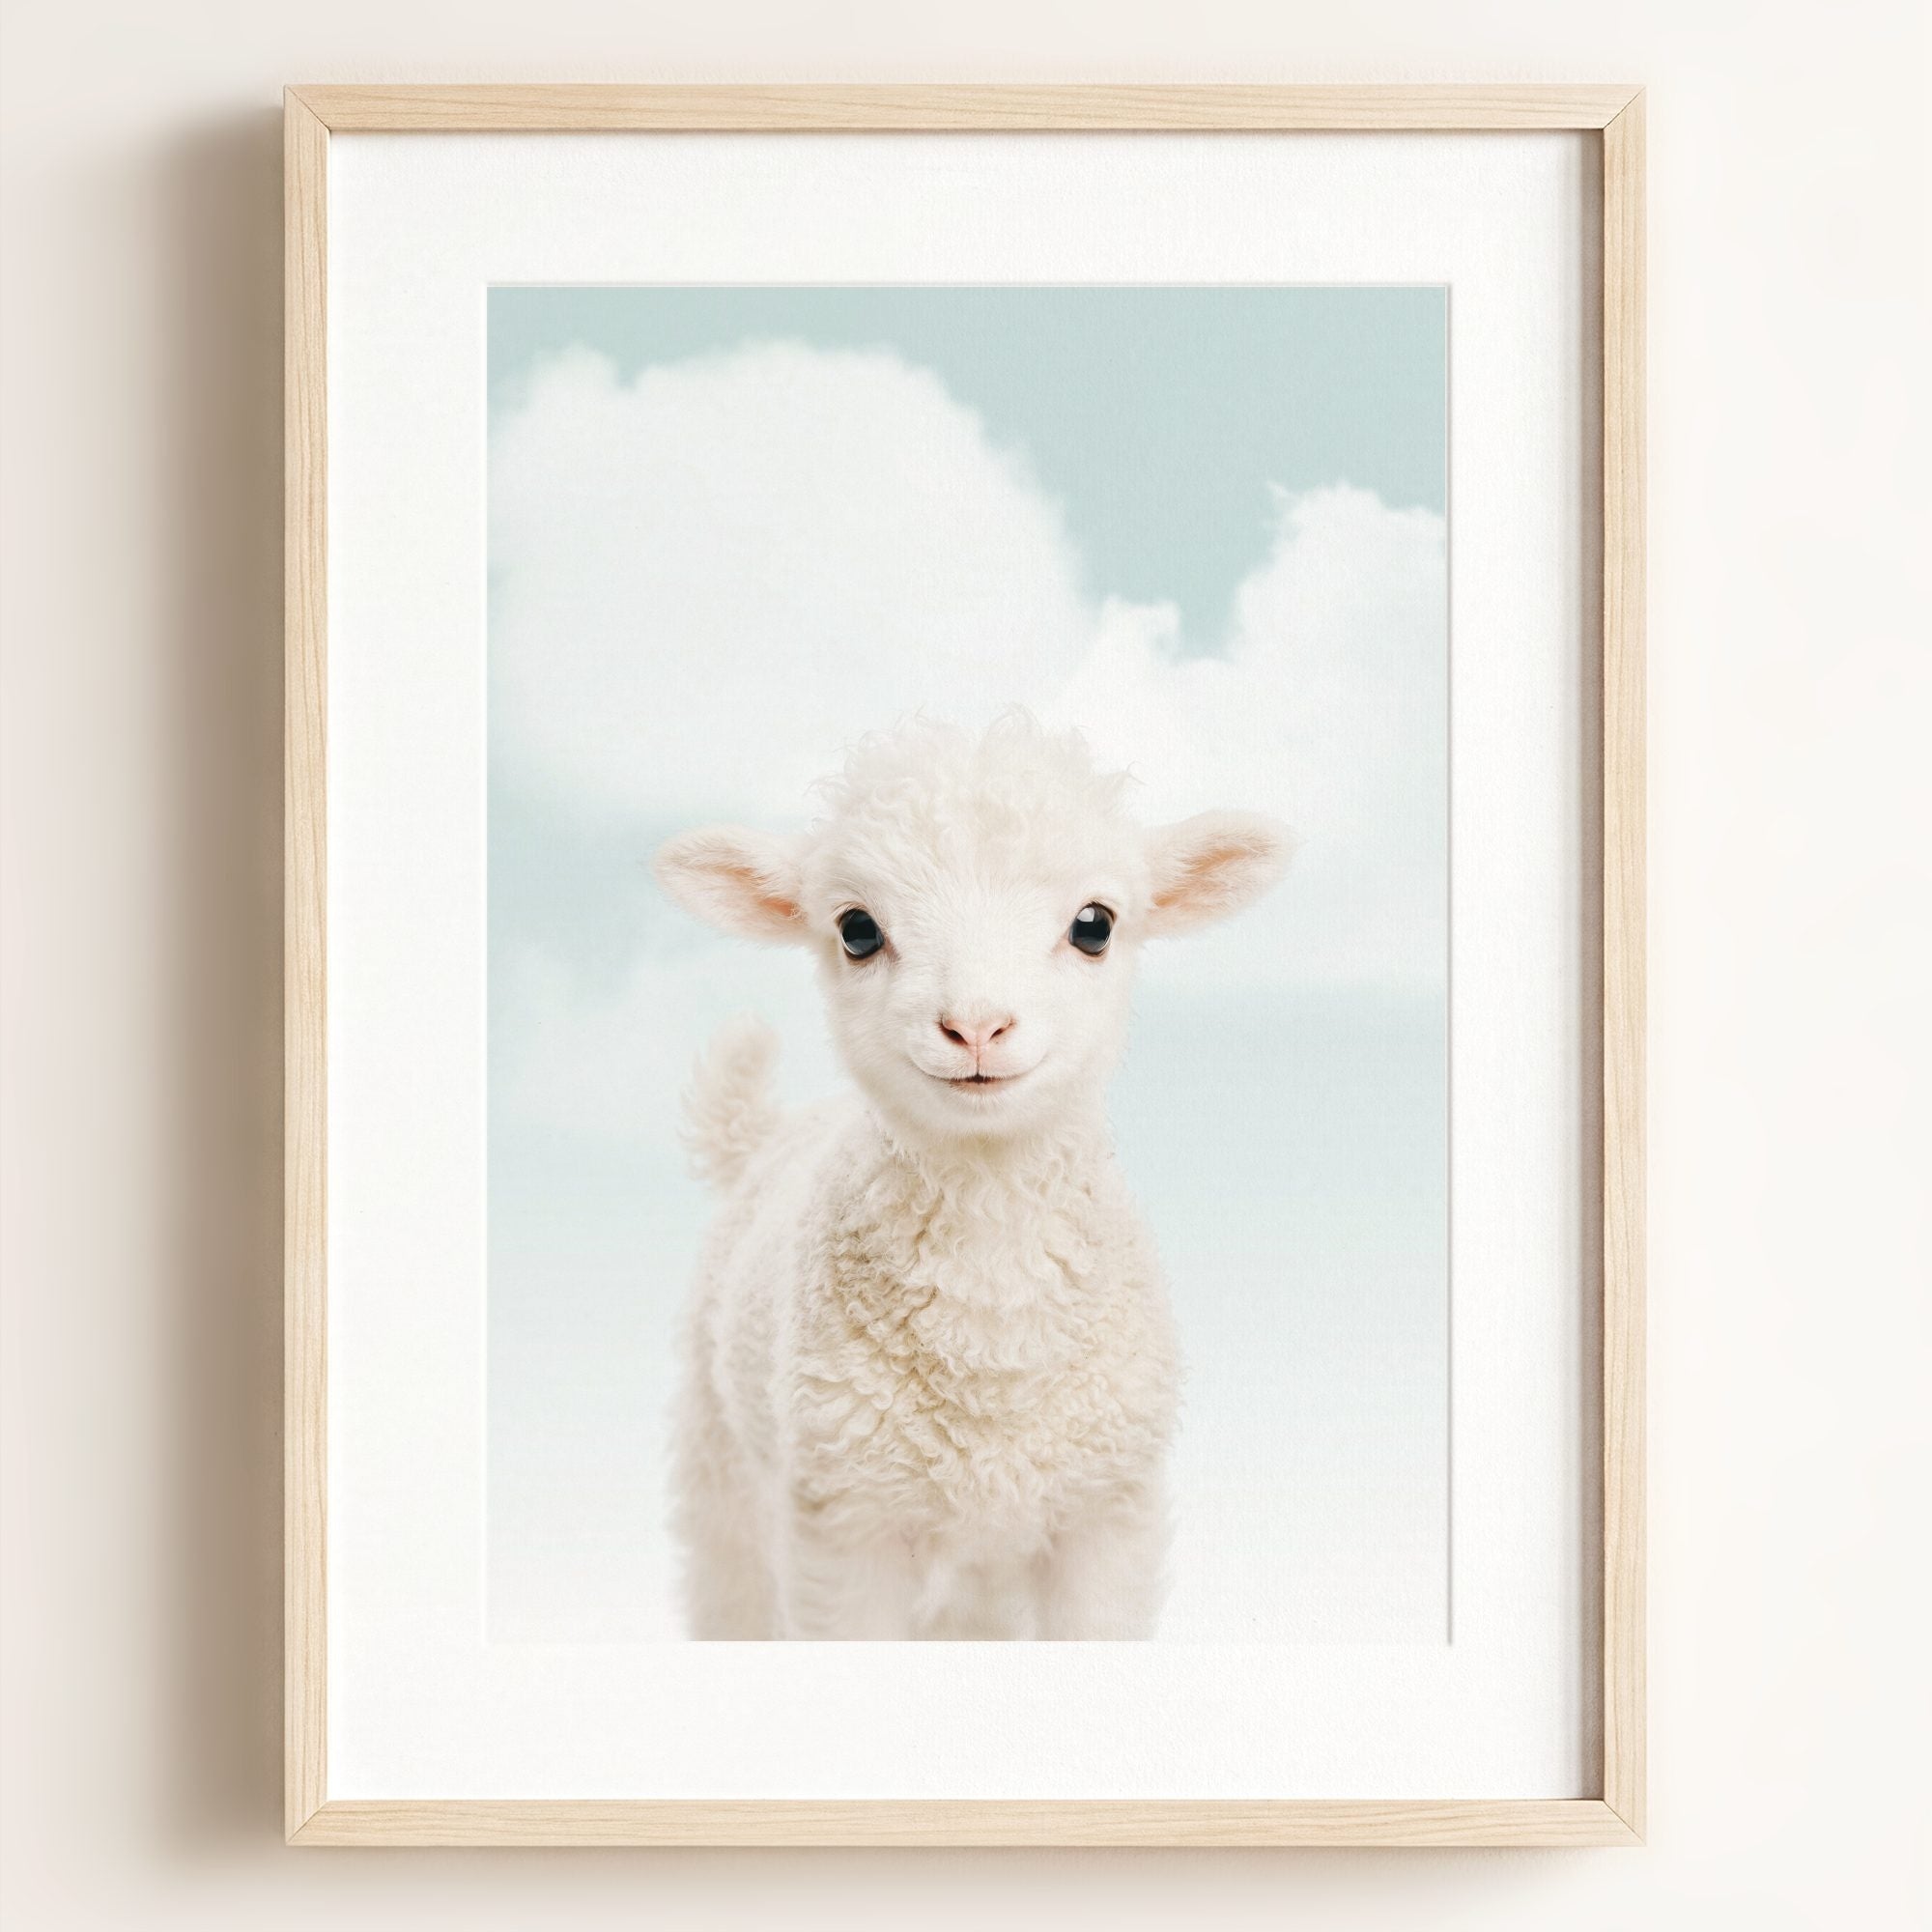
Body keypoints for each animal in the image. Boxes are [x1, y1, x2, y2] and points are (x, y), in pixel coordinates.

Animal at [653, 714, 1290, 1639]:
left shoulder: (1106, 1513)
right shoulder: (845, 1525)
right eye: (856, 929)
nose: (977, 1025)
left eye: (1094, 925)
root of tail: (768, 1134)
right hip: (724, 1465)